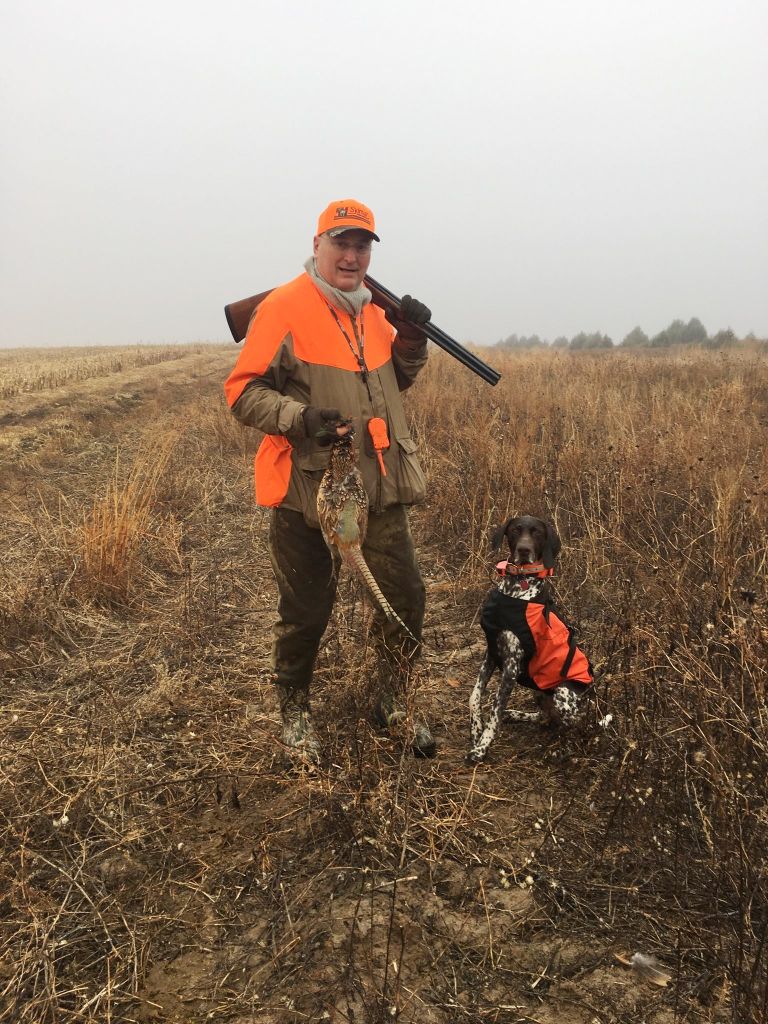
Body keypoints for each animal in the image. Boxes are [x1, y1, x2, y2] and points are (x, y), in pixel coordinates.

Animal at [468, 520, 593, 761]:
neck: (516, 588)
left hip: (564, 693)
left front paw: (481, 748)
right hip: (539, 689)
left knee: (575, 730)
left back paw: (561, 750)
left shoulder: (511, 666)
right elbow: (474, 696)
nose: (524, 550)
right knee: (546, 718)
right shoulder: (491, 653)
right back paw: (517, 715)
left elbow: (495, 709)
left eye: (538, 533)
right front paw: (476, 729)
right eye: (515, 529)